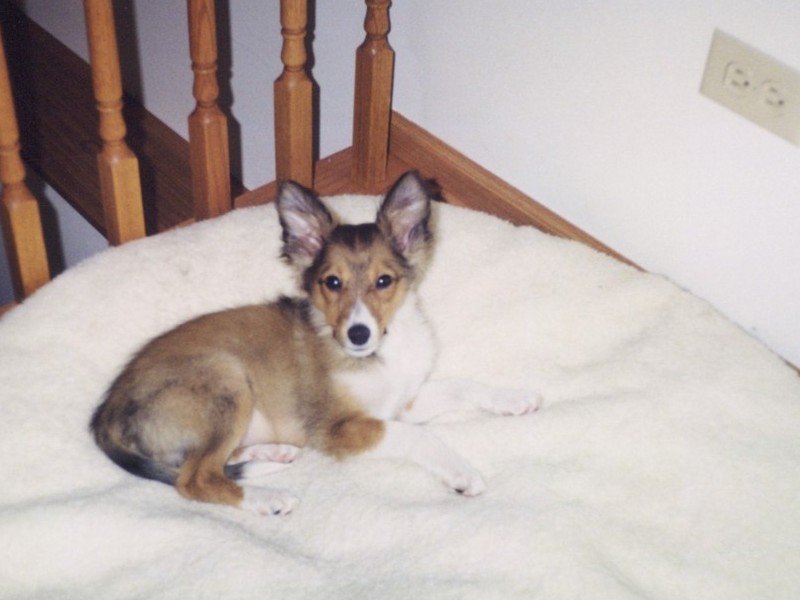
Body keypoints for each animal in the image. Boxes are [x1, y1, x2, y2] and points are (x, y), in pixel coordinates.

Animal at [90, 172, 540, 516]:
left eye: (384, 281)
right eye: (332, 282)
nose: (358, 334)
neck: (383, 349)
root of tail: (105, 412)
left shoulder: (402, 402)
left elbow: (459, 385)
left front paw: (514, 399)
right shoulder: (340, 428)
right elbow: (418, 437)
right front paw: (462, 473)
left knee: (209, 463)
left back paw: (274, 456)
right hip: (225, 378)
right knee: (195, 478)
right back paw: (267, 498)